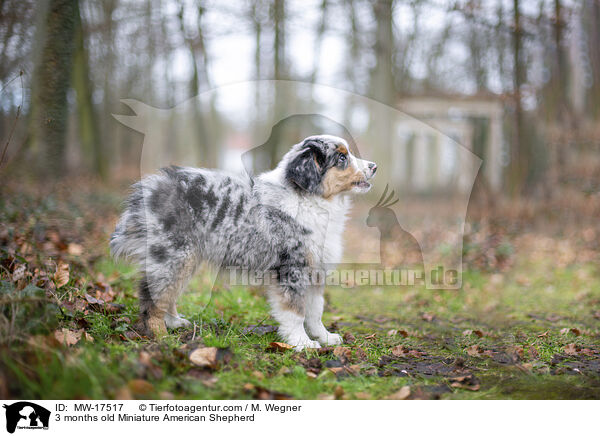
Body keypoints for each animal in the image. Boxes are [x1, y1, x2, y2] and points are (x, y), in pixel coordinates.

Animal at [109, 135, 376, 350]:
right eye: (341, 157)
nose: (374, 166)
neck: (310, 200)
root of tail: (150, 188)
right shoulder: (292, 269)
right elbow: (295, 311)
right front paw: (301, 343)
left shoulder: (314, 269)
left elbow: (315, 310)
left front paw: (325, 337)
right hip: (173, 255)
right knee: (153, 297)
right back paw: (161, 336)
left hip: (186, 258)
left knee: (168, 293)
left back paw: (175, 322)